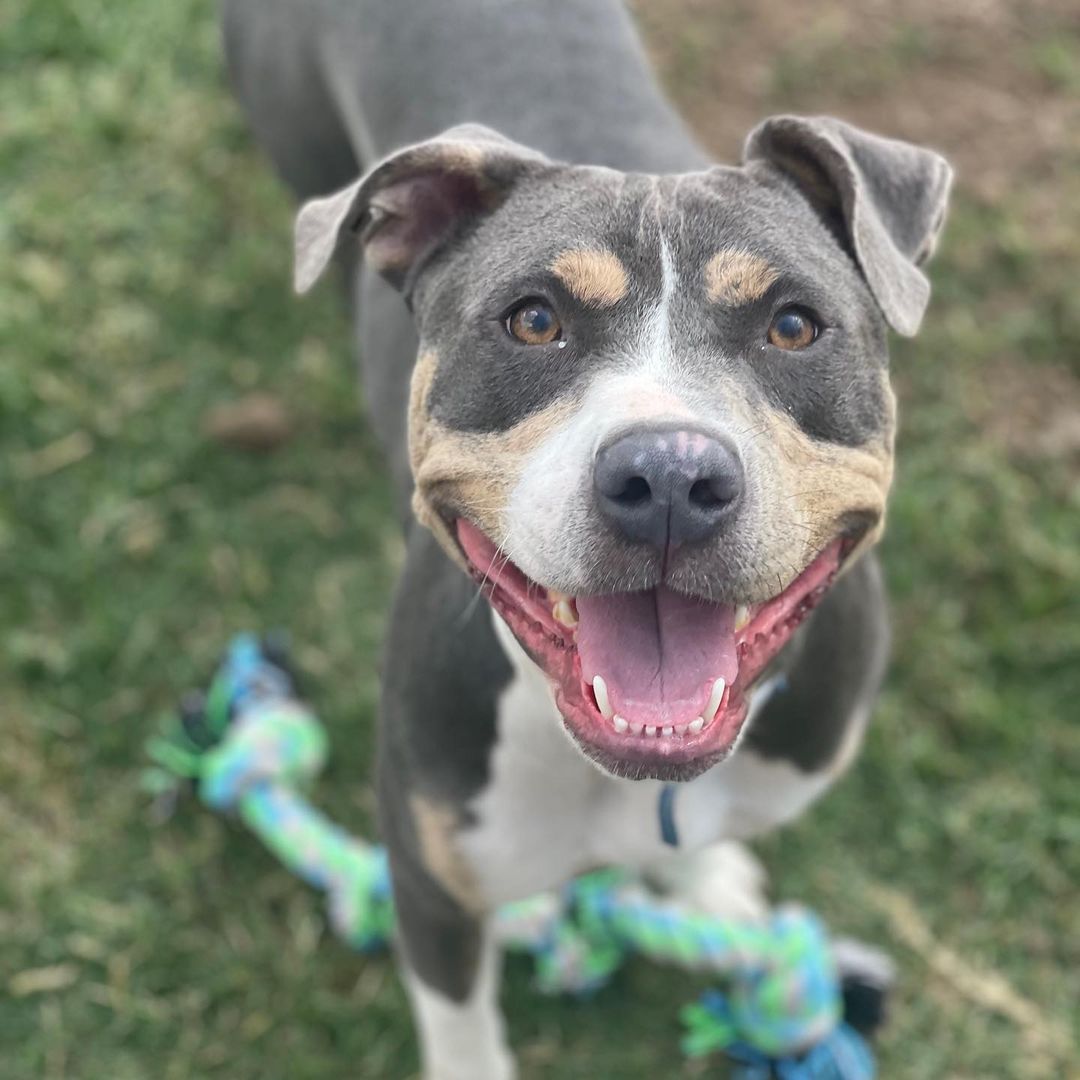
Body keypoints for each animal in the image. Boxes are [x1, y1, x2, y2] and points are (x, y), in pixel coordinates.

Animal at [223, 4, 950, 1075]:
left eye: (792, 326)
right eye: (533, 321)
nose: (670, 479)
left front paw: (702, 886)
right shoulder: (431, 881)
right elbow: (463, 1029)